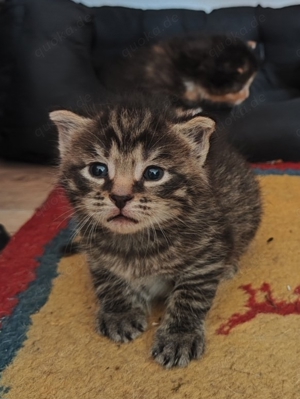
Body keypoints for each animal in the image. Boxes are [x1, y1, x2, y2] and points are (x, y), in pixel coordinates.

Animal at [50, 97, 262, 368]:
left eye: (153, 173)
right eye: (97, 170)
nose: (120, 197)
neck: (137, 242)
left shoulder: (206, 255)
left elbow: (190, 295)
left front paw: (179, 336)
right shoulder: (94, 250)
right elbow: (107, 280)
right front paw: (120, 312)